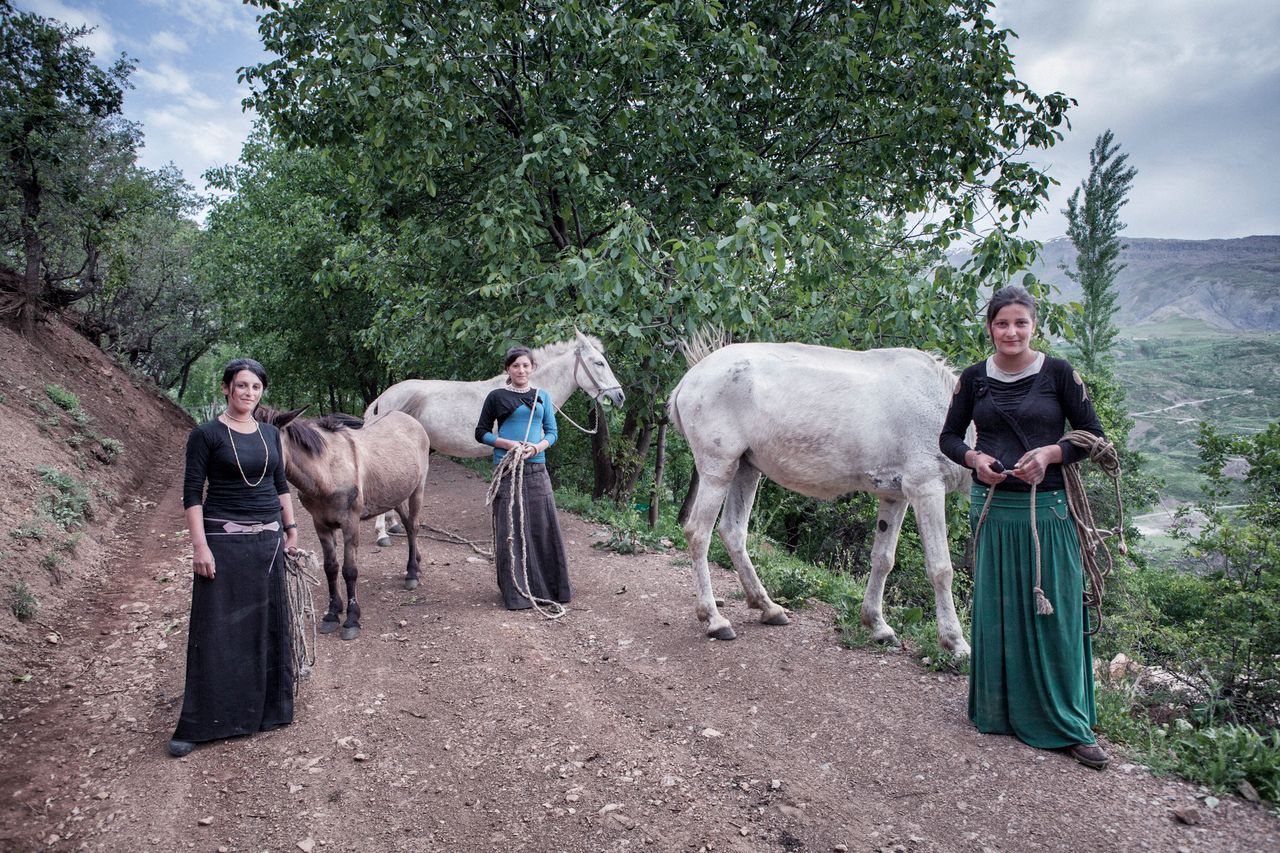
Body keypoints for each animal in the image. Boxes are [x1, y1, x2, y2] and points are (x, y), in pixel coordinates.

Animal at [257, 404, 432, 637]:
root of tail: (409, 419)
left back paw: (412, 573)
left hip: (417, 489)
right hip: (395, 493)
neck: (327, 471)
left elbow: (349, 571)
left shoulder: (350, 523)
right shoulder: (321, 524)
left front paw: (351, 620)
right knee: (407, 523)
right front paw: (332, 613)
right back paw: (416, 564)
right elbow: (330, 567)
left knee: (413, 526)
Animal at [670, 338, 967, 650]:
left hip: (746, 468)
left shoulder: (895, 496)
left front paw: (878, 625)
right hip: (718, 469)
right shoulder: (926, 488)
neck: (942, 406)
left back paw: (768, 607)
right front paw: (955, 641)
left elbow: (883, 559)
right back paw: (715, 620)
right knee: (698, 533)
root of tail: (688, 380)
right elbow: (940, 568)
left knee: (732, 531)